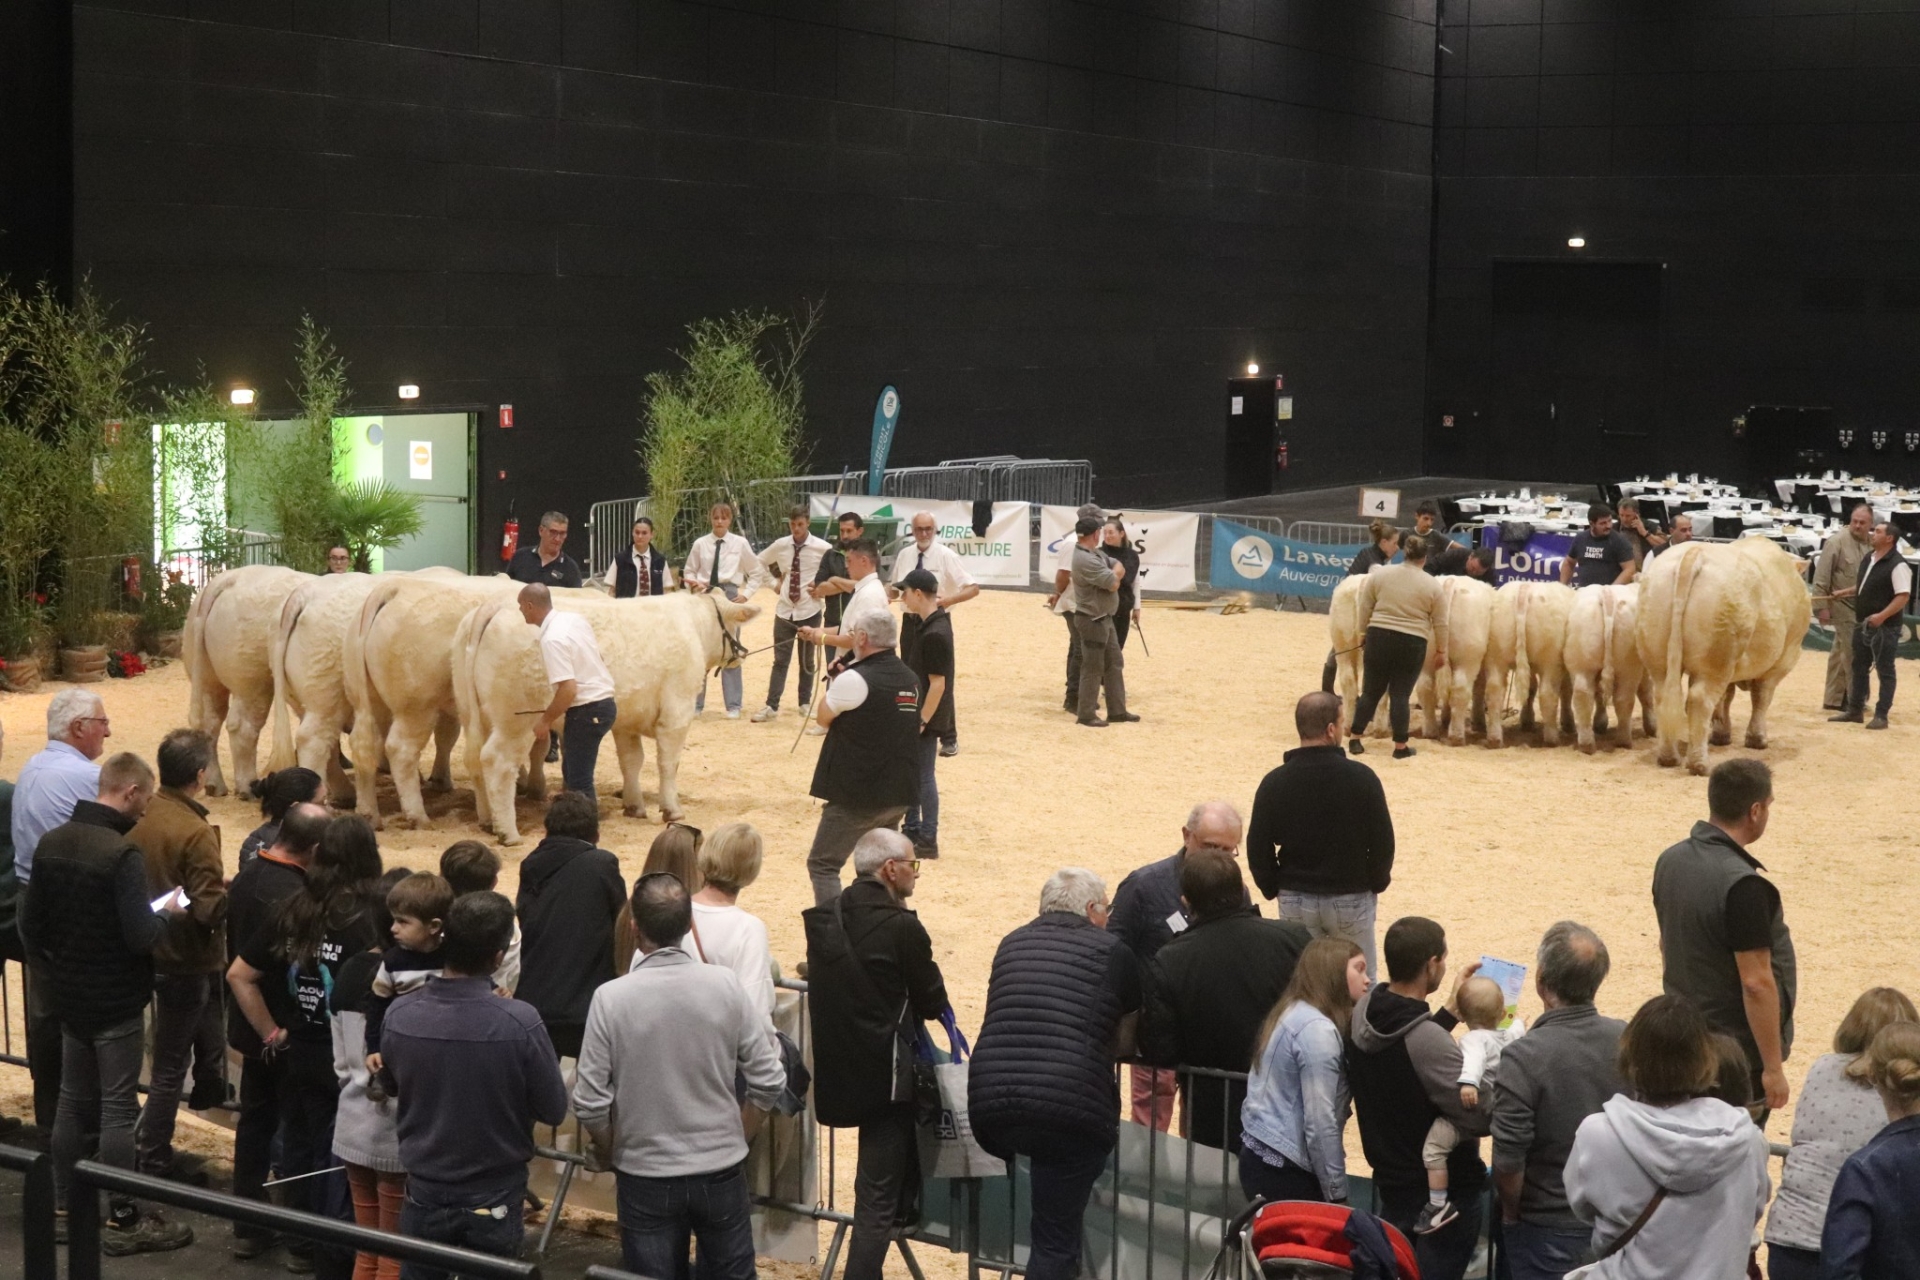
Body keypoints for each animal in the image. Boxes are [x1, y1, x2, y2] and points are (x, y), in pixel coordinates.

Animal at [187, 564, 311, 794]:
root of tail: (229, 579)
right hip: (252, 682)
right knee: (243, 727)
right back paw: (247, 787)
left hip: (206, 676)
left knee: (210, 722)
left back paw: (215, 786)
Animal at [458, 594, 764, 852]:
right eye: (737, 627)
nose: (741, 655)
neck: (693, 624)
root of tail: (498, 605)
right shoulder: (677, 712)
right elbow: (668, 763)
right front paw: (672, 808)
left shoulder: (626, 723)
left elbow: (631, 761)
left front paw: (634, 805)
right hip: (517, 721)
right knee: (496, 761)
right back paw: (508, 832)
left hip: (477, 715)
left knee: (475, 761)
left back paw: (488, 819)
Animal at [1559, 587, 1651, 756]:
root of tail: (1607, 593)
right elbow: (1646, 694)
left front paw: (1600, 724)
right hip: (1628, 666)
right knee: (1619, 698)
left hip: (1589, 662)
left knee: (1592, 696)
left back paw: (1597, 743)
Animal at [1628, 537, 1804, 775]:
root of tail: (1695, 553)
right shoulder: (1783, 660)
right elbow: (1761, 698)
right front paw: (1757, 739)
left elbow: (1726, 698)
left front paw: (1721, 735)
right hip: (1717, 659)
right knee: (1700, 700)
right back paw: (1698, 764)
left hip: (1659, 655)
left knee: (1665, 697)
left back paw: (1668, 757)